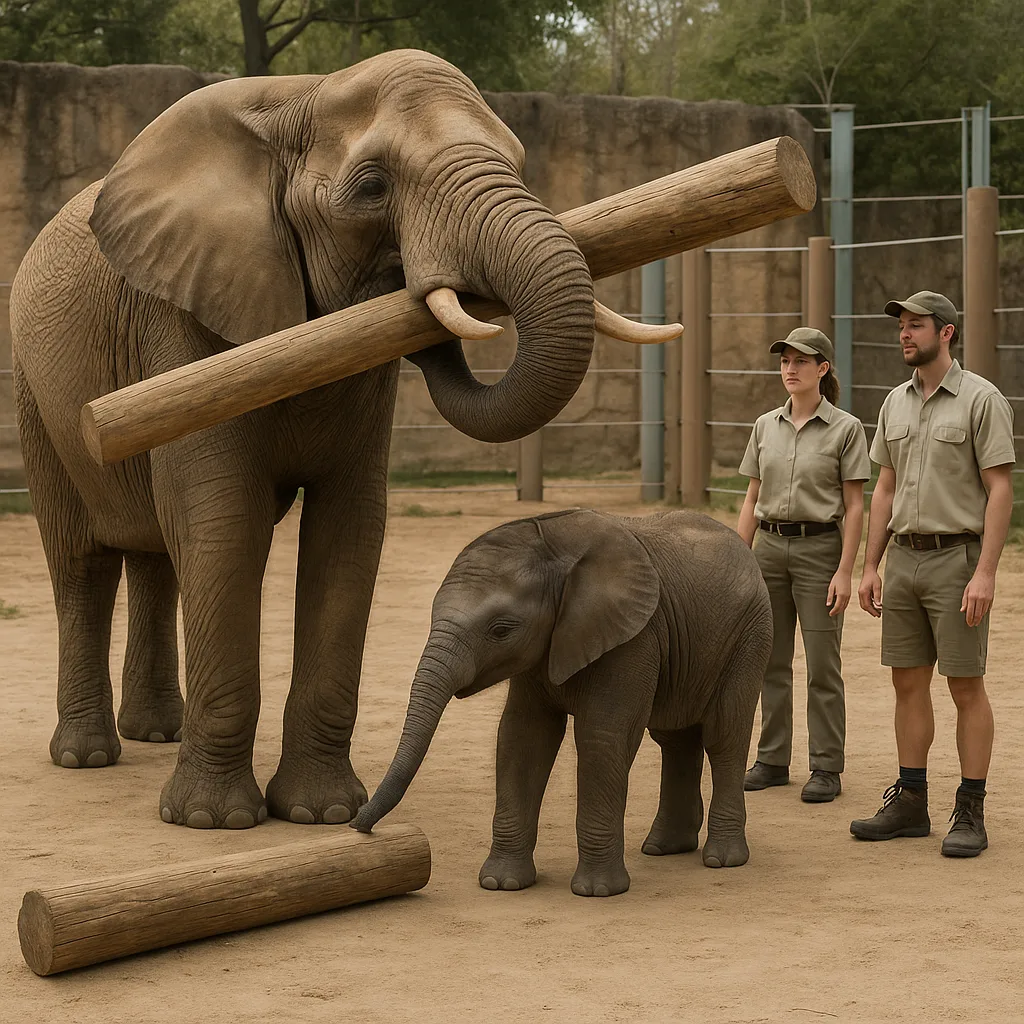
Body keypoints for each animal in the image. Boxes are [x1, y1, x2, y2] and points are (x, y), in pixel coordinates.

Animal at [10, 50, 653, 830]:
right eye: (372, 187)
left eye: (521, 162)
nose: (428, 290)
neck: (298, 98)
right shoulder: (184, 320)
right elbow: (223, 524)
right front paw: (214, 823)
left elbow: (348, 530)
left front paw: (322, 813)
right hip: (36, 395)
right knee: (82, 563)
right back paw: (86, 755)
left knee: (157, 553)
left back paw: (157, 733)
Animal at [351, 508, 774, 897]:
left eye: (500, 630)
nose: (358, 825)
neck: (553, 545)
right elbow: (521, 737)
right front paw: (501, 884)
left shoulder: (634, 637)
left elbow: (601, 738)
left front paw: (597, 892)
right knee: (674, 738)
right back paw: (663, 848)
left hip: (750, 633)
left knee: (724, 735)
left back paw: (722, 859)